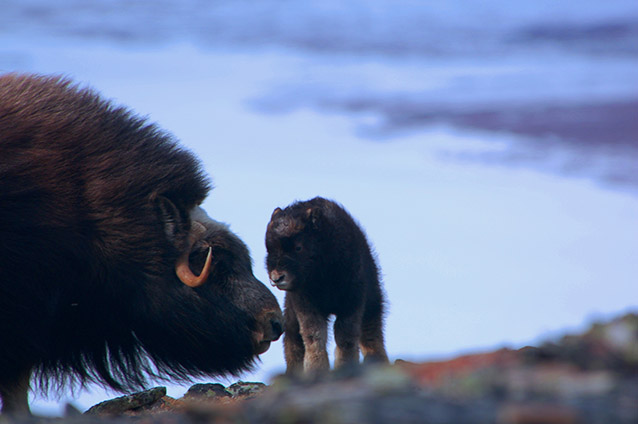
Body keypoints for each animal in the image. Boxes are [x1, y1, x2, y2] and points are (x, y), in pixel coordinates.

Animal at [264, 196, 390, 374]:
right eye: (269, 248)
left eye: (298, 247)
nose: (277, 278)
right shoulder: (305, 304)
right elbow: (314, 335)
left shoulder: (352, 303)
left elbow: (345, 337)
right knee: (293, 340)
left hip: (372, 303)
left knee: (371, 333)